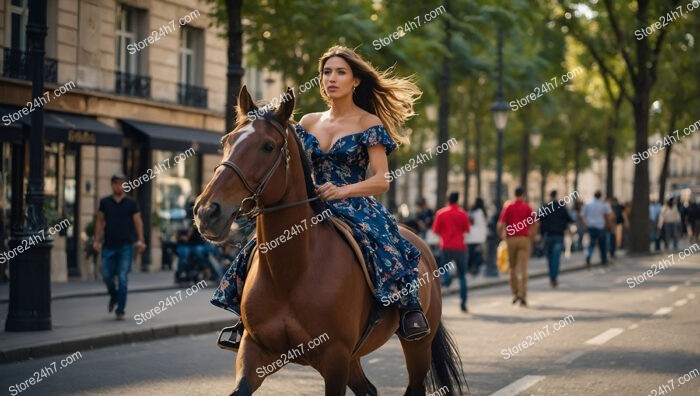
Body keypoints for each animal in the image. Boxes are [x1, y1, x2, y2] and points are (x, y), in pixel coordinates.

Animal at [194, 87, 464, 396]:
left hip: (417, 345)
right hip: (355, 357)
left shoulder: (335, 356)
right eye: (226, 141)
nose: (207, 211)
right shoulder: (254, 349)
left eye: (267, 146)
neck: (290, 273)